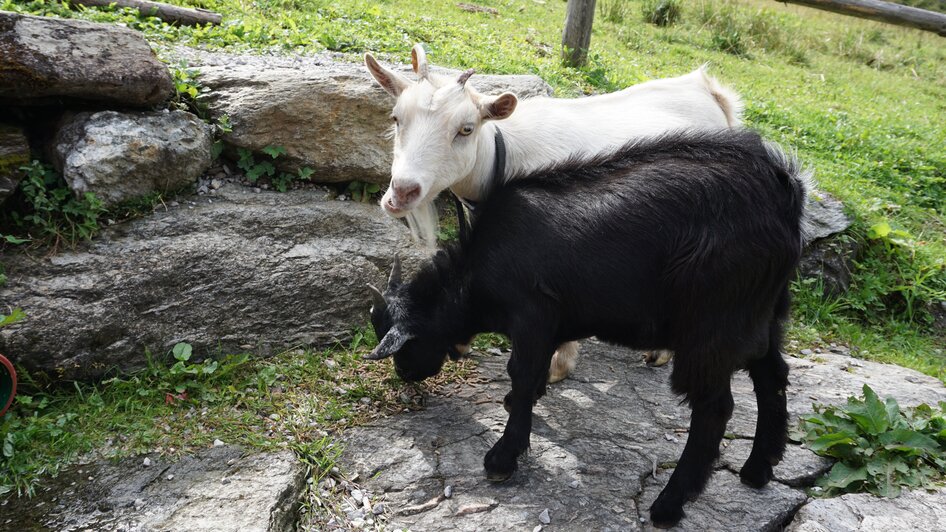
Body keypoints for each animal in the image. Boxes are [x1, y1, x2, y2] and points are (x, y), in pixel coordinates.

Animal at [362, 130, 804, 528]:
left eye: (404, 346)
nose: (405, 374)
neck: (476, 270)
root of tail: (782, 189)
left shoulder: (531, 315)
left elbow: (522, 374)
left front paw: (503, 456)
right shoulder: (550, 325)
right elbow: (535, 374)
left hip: (712, 324)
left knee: (714, 407)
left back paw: (669, 504)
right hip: (765, 313)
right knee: (772, 376)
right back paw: (758, 468)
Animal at [366, 44, 740, 378]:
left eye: (466, 129)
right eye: (396, 118)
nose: (402, 192)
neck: (502, 155)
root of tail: (708, 90)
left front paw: (557, 366)